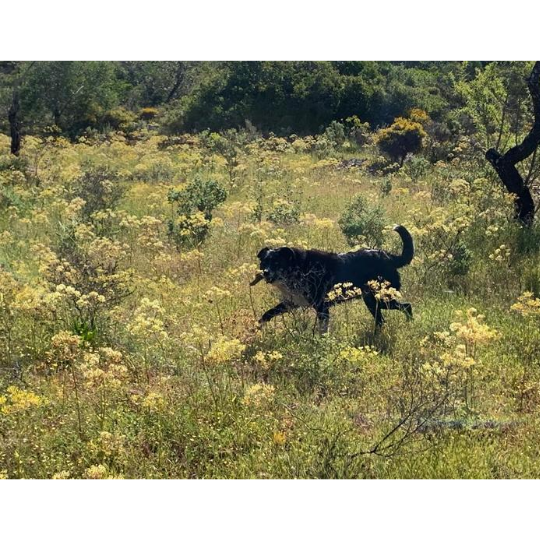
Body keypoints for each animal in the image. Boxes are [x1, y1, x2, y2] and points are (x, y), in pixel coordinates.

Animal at [252, 226, 414, 332]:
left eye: (276, 262)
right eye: (264, 262)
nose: (265, 273)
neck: (300, 268)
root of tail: (390, 257)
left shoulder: (322, 308)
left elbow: (322, 330)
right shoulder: (291, 302)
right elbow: (268, 313)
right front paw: (257, 327)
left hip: (382, 299)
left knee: (406, 306)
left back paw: (409, 325)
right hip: (372, 301)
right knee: (382, 320)